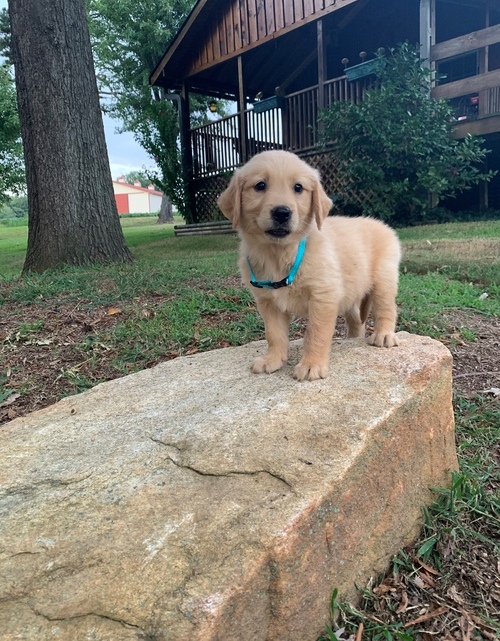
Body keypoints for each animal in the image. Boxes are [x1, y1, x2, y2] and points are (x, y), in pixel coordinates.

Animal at [217, 150, 400, 380]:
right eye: (260, 185)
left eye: (298, 188)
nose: (282, 212)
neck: (280, 253)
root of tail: (383, 225)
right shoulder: (268, 302)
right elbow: (274, 333)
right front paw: (272, 359)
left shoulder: (323, 296)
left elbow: (315, 333)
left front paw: (312, 365)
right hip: (351, 293)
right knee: (356, 320)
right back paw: (352, 339)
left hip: (384, 279)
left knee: (386, 307)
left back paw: (384, 335)